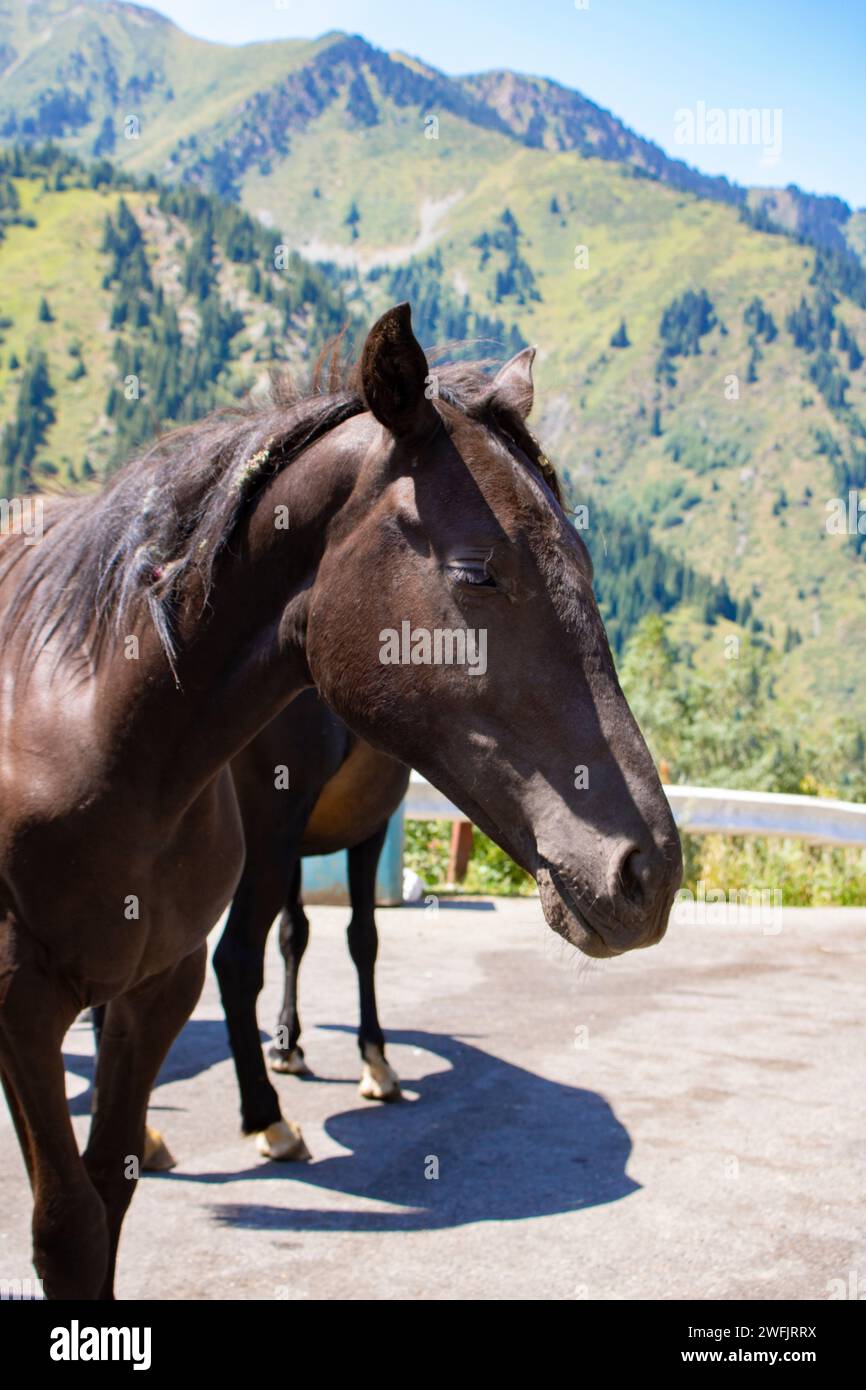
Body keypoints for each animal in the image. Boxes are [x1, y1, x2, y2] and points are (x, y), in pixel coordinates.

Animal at [0, 303, 682, 1298]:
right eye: (476, 572)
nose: (650, 871)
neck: (95, 732)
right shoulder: (20, 1003)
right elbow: (70, 1228)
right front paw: (359, 1064)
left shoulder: (157, 991)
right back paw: (270, 1116)